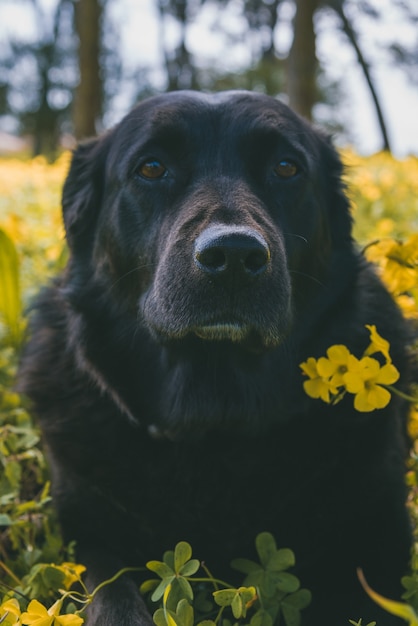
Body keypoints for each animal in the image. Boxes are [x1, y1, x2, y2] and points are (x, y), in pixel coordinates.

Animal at [18, 91, 412, 624]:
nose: (234, 257)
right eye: (152, 167)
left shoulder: (377, 542)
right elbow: (110, 596)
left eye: (286, 167)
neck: (213, 414)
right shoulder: (90, 533)